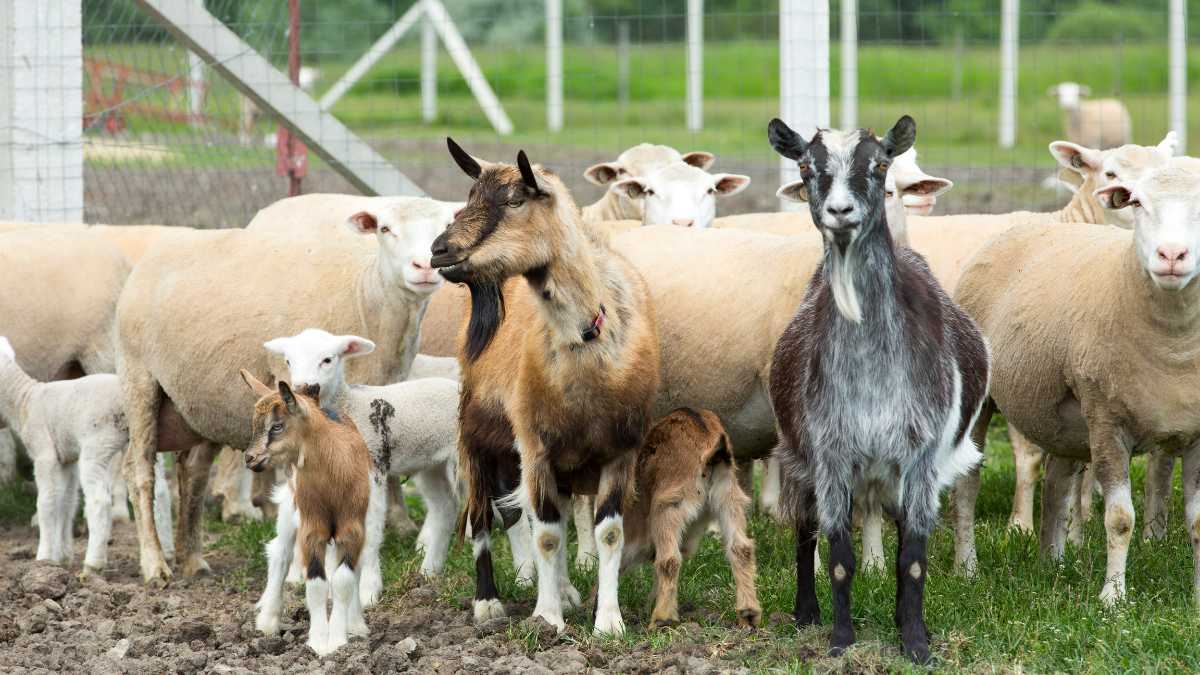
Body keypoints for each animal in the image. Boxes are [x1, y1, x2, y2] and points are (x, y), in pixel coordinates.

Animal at [240, 370, 371, 657]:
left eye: (277, 426)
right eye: (254, 425)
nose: (250, 458)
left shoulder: (352, 528)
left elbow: (343, 579)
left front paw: (339, 639)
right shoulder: (312, 528)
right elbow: (316, 583)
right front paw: (320, 642)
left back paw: (356, 623)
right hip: (290, 509)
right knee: (280, 553)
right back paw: (268, 620)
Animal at [431, 139, 660, 635]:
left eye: (516, 200)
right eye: (471, 194)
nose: (439, 250)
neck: (586, 335)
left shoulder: (621, 449)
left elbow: (607, 532)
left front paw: (608, 621)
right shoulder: (534, 446)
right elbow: (549, 535)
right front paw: (547, 616)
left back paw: (568, 590)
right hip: (476, 433)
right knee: (485, 516)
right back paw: (489, 603)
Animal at [766, 116, 989, 664]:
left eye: (880, 165)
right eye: (806, 168)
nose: (840, 211)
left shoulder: (922, 455)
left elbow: (912, 556)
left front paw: (916, 642)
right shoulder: (829, 454)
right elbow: (838, 555)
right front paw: (840, 640)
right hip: (798, 458)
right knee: (804, 531)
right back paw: (806, 613)